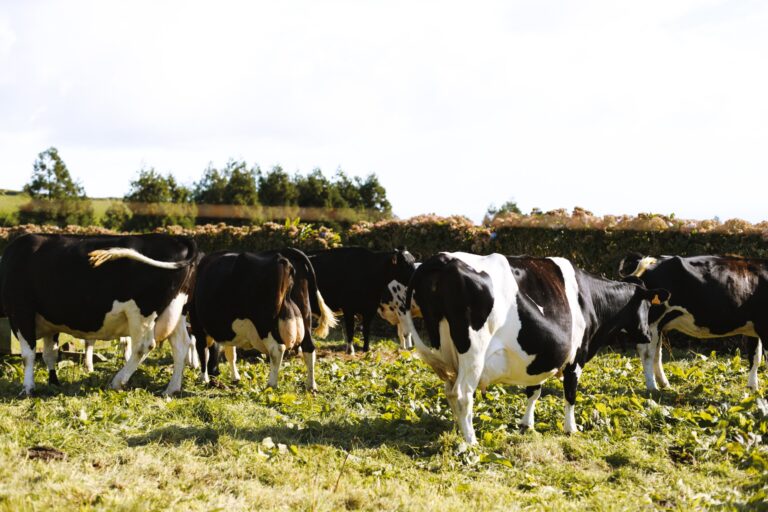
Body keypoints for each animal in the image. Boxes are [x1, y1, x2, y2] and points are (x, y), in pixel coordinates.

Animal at [0, 233, 201, 396]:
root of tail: (177, 239)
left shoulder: (21, 312)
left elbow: (29, 354)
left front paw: (27, 388)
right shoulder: (50, 321)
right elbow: (50, 354)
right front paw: (53, 382)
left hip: (143, 313)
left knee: (143, 346)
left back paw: (117, 381)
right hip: (177, 311)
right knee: (181, 345)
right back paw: (171, 389)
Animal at [190, 247, 336, 388]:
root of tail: (283, 252)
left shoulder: (197, 325)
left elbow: (203, 351)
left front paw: (204, 379)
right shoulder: (227, 331)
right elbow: (230, 352)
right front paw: (235, 377)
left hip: (265, 323)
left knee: (277, 349)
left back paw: (271, 384)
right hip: (304, 313)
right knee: (308, 347)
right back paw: (311, 385)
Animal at [402, 252, 664, 444]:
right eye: (647, 305)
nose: (647, 334)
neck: (590, 298)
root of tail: (443, 259)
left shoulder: (539, 357)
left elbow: (534, 390)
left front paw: (526, 424)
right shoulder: (575, 359)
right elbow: (570, 394)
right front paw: (571, 428)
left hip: (445, 351)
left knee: (450, 391)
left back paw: (459, 430)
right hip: (473, 353)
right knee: (462, 393)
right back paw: (471, 440)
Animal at [616, 253, 768, 392]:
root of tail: (651, 261)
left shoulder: (754, 329)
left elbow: (755, 357)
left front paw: (753, 389)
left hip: (659, 325)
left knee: (656, 353)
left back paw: (664, 384)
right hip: (653, 320)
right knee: (647, 352)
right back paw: (652, 387)